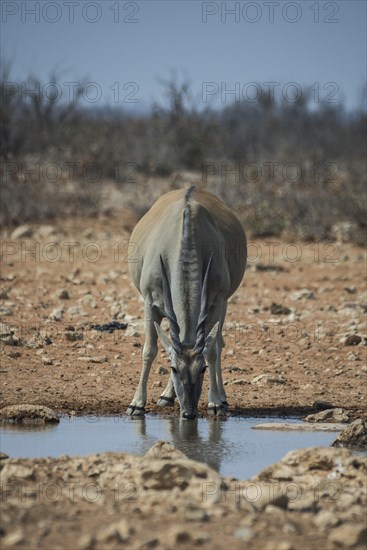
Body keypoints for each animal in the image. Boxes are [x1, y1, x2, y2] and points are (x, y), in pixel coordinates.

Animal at [127, 188, 247, 420]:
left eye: (202, 369)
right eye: (174, 368)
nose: (189, 413)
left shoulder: (217, 302)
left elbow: (212, 351)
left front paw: (215, 403)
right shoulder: (150, 303)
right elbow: (150, 350)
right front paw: (136, 404)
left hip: (224, 304)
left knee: (218, 343)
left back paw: (221, 399)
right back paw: (166, 396)